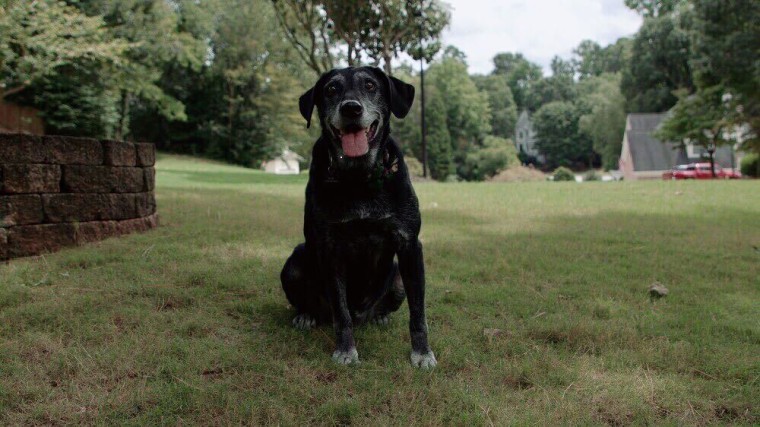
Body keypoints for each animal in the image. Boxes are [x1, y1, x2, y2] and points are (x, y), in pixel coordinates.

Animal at [280, 66, 436, 368]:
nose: (351, 108)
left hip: (398, 280)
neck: (359, 177)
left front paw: (422, 353)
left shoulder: (410, 245)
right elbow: (341, 314)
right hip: (293, 264)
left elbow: (418, 313)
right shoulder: (330, 248)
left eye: (370, 85)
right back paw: (306, 315)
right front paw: (346, 350)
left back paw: (380, 316)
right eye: (331, 89)